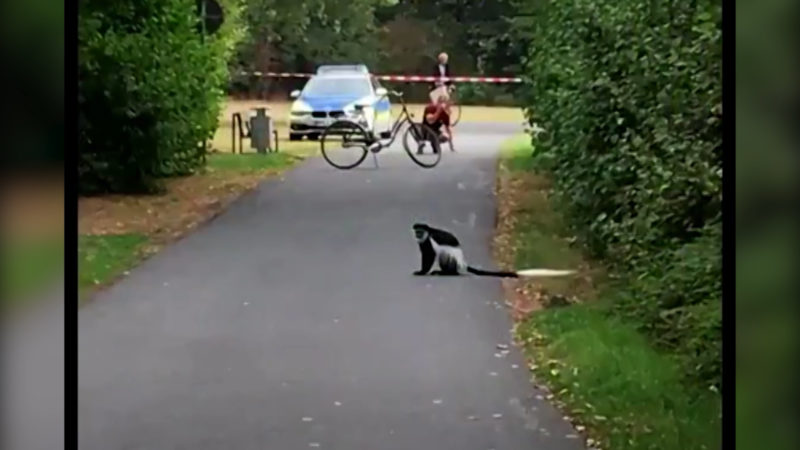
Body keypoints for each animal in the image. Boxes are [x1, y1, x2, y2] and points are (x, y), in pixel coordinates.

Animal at [412, 222, 576, 278]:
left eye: (420, 231)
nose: (417, 235)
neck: (427, 233)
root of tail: (463, 262)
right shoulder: (423, 242)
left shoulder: (428, 241)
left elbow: (429, 255)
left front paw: (421, 272)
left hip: (451, 258)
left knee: (444, 257)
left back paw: (446, 273)